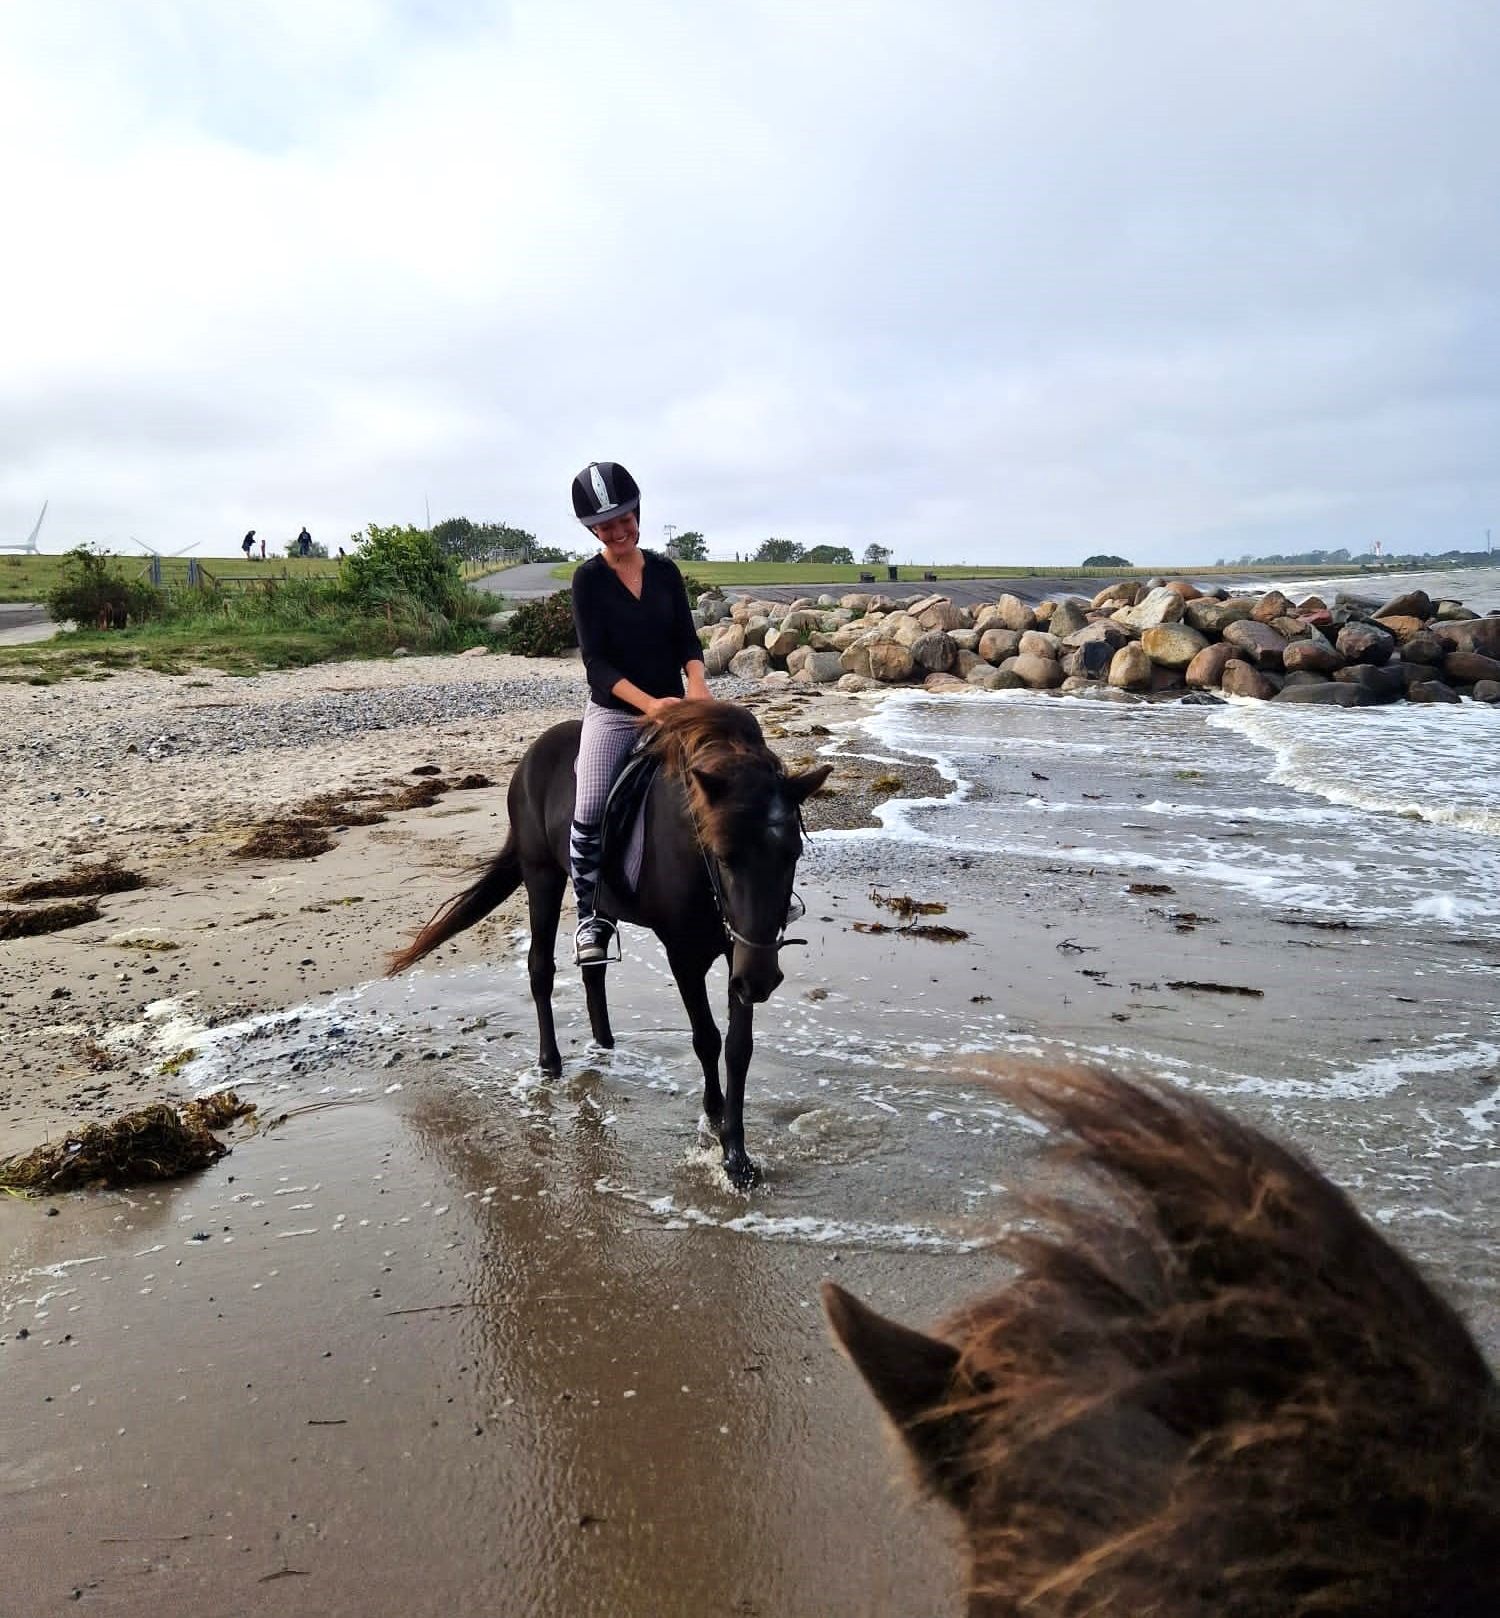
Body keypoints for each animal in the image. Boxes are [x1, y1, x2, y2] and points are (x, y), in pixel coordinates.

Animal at [393, 698, 828, 1190]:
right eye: (723, 855)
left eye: (792, 854)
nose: (761, 980)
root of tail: (529, 759)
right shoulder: (684, 954)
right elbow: (706, 1038)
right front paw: (715, 1118)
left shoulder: (741, 949)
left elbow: (738, 1049)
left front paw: (736, 1155)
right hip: (542, 875)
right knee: (540, 969)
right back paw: (550, 1063)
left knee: (593, 968)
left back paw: (604, 1044)